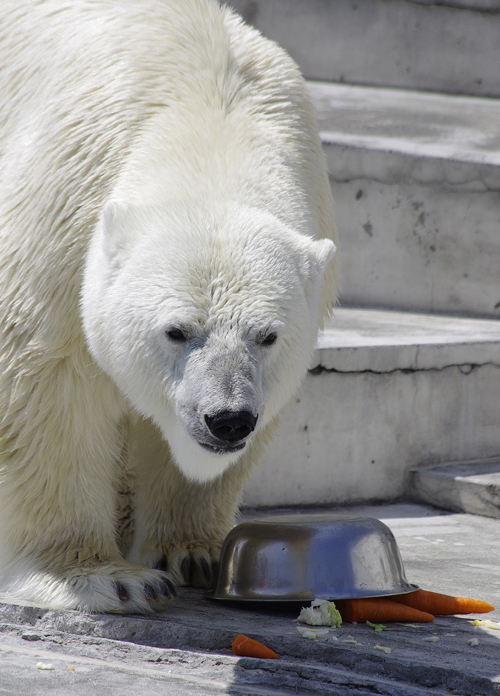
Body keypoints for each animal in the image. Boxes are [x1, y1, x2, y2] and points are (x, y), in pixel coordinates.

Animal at [0, 0, 340, 612]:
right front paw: (102, 576)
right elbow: (47, 383)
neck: (211, 113)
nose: (227, 419)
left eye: (267, 336)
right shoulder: (62, 214)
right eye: (177, 330)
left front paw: (192, 554)